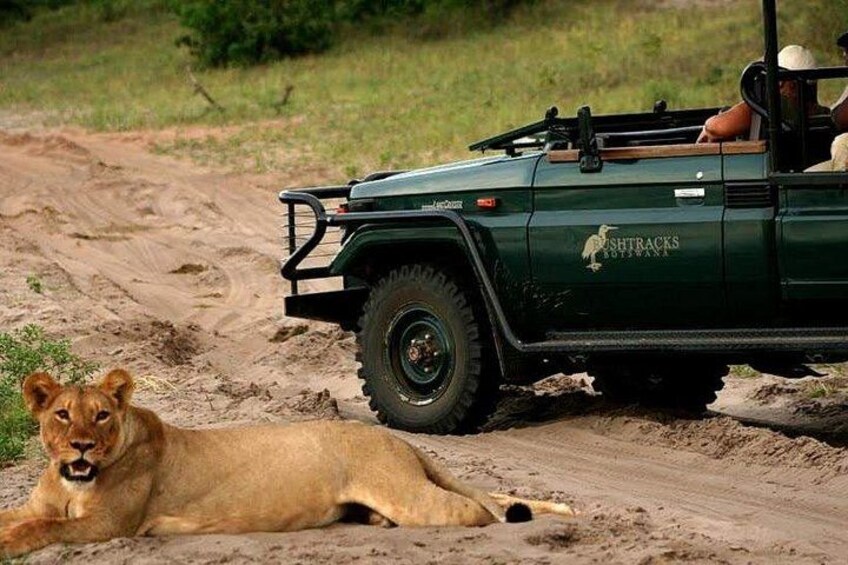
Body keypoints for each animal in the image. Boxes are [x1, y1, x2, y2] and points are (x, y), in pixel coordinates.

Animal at [0, 369, 574, 557]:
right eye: (61, 414)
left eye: (100, 415)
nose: (80, 446)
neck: (71, 481)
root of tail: (398, 439)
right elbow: (20, 516)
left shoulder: (110, 525)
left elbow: (41, 528)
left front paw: (10, 545)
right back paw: (373, 522)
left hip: (409, 494)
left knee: (471, 510)